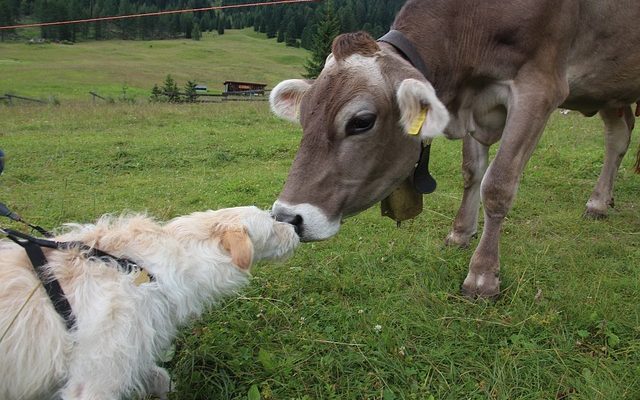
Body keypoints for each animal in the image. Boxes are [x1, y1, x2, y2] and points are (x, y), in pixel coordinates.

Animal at [268, 0, 636, 296]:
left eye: (361, 121)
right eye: (304, 116)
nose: (288, 217)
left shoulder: (539, 87)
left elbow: (498, 185)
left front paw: (482, 275)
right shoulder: (473, 100)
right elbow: (472, 173)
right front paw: (460, 234)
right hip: (612, 91)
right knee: (619, 136)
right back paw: (600, 202)